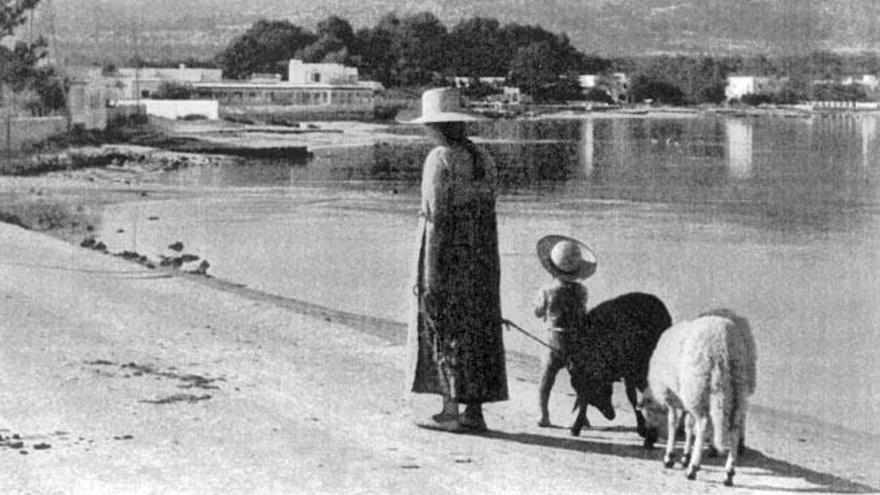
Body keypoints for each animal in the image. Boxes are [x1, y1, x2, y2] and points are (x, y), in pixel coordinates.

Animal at [640, 310, 756, 488]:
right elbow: (688, 426)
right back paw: (729, 472)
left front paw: (671, 457)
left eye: (649, 413)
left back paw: (693, 468)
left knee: (703, 425)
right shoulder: (685, 401)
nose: (647, 441)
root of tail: (723, 339)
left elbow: (674, 424)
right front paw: (685, 456)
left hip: (699, 386)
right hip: (738, 386)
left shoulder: (671, 396)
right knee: (735, 427)